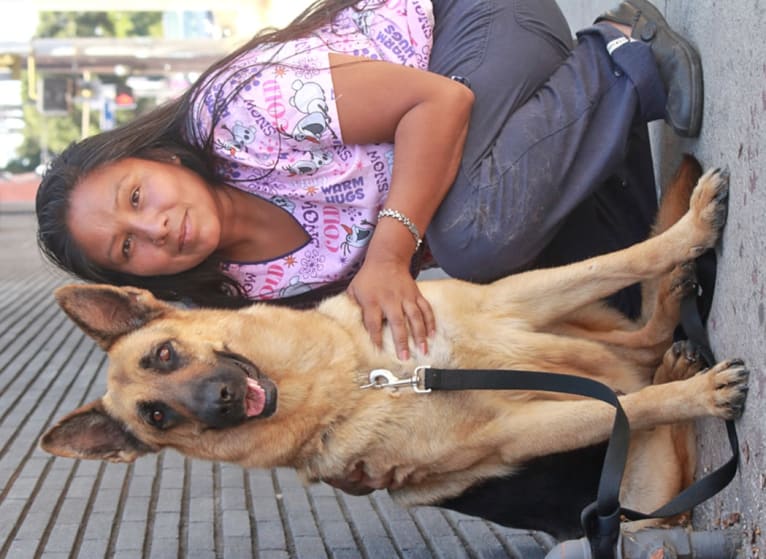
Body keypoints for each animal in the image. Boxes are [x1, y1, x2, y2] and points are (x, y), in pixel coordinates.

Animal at [42, 158, 752, 540]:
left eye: (163, 355)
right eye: (158, 417)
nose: (219, 400)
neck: (357, 380)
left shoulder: (509, 301)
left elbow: (622, 259)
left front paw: (690, 231)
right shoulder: (517, 430)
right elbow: (636, 406)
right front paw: (698, 394)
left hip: (569, 324)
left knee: (641, 334)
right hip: (638, 496)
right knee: (642, 367)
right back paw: (678, 365)